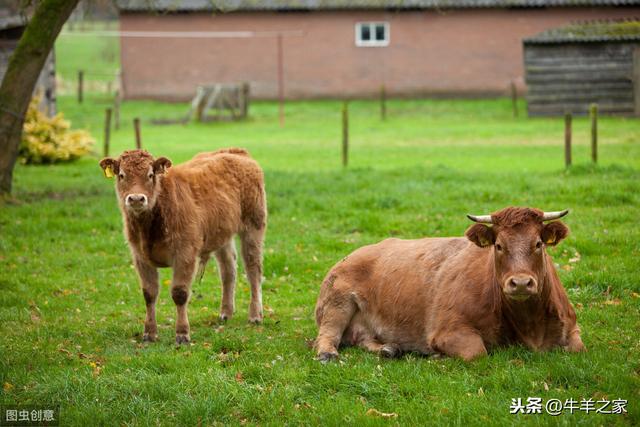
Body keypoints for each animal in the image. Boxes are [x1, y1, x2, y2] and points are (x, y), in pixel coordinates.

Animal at [99, 150, 268, 344]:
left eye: (150, 174)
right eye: (121, 175)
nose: (136, 199)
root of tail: (236, 152)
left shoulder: (185, 254)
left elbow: (179, 293)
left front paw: (182, 334)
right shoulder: (140, 257)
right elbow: (149, 294)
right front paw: (149, 333)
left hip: (254, 225)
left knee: (253, 270)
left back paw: (255, 315)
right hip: (221, 234)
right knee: (228, 270)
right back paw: (226, 313)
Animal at [314, 207, 584, 362]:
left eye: (538, 243)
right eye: (498, 246)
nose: (519, 283)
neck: (530, 325)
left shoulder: (572, 328)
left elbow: (578, 348)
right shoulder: (448, 329)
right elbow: (477, 353)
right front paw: (436, 355)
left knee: (362, 338)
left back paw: (389, 349)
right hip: (337, 302)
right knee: (327, 335)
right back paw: (327, 353)